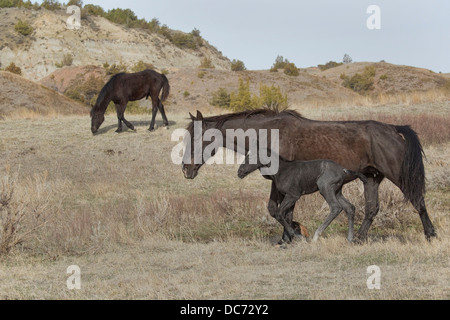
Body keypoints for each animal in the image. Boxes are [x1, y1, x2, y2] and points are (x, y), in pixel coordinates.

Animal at [237, 154, 368, 242]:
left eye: (250, 157)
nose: (239, 172)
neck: (282, 170)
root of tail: (343, 170)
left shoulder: (293, 195)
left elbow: (279, 213)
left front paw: (297, 236)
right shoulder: (288, 197)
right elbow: (287, 215)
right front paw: (288, 239)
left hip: (325, 189)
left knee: (336, 207)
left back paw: (316, 236)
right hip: (337, 192)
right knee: (350, 207)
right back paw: (349, 238)